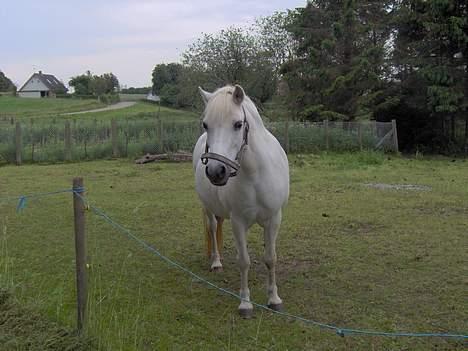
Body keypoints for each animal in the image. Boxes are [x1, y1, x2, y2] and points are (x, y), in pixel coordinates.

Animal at [191, 84, 288, 316]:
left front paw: (274, 299)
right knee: (212, 227)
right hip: (207, 207)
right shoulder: (238, 222)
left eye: (237, 124)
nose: (216, 172)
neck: (255, 173)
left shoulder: (274, 219)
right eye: (206, 124)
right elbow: (244, 261)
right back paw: (216, 262)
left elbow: (270, 258)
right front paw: (245, 303)